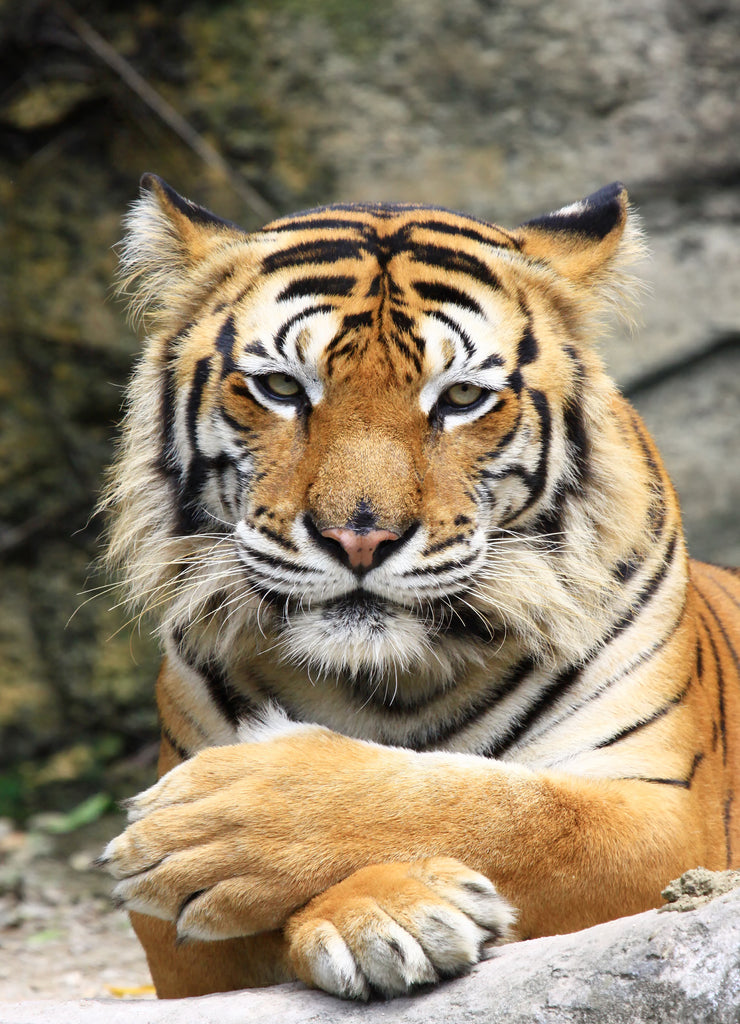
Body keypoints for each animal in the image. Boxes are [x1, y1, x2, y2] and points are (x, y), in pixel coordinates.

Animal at [98, 174, 740, 1002]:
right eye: (280, 387)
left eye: (461, 398)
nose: (359, 537)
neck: (389, 684)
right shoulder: (181, 956)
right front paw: (387, 911)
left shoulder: (671, 814)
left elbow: (506, 809)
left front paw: (224, 825)